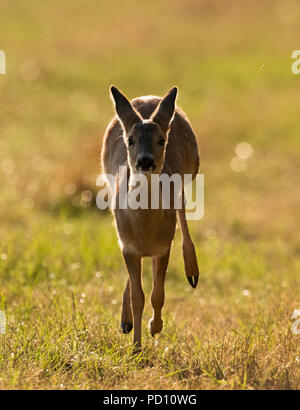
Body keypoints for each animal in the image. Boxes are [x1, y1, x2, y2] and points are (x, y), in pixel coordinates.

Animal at [100, 85, 199, 350]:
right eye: (130, 140)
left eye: (161, 140)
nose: (145, 161)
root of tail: (150, 98)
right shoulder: (127, 246)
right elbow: (139, 297)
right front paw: (135, 347)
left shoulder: (163, 247)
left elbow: (158, 294)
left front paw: (155, 327)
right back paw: (125, 321)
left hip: (192, 168)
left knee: (182, 209)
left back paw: (192, 271)